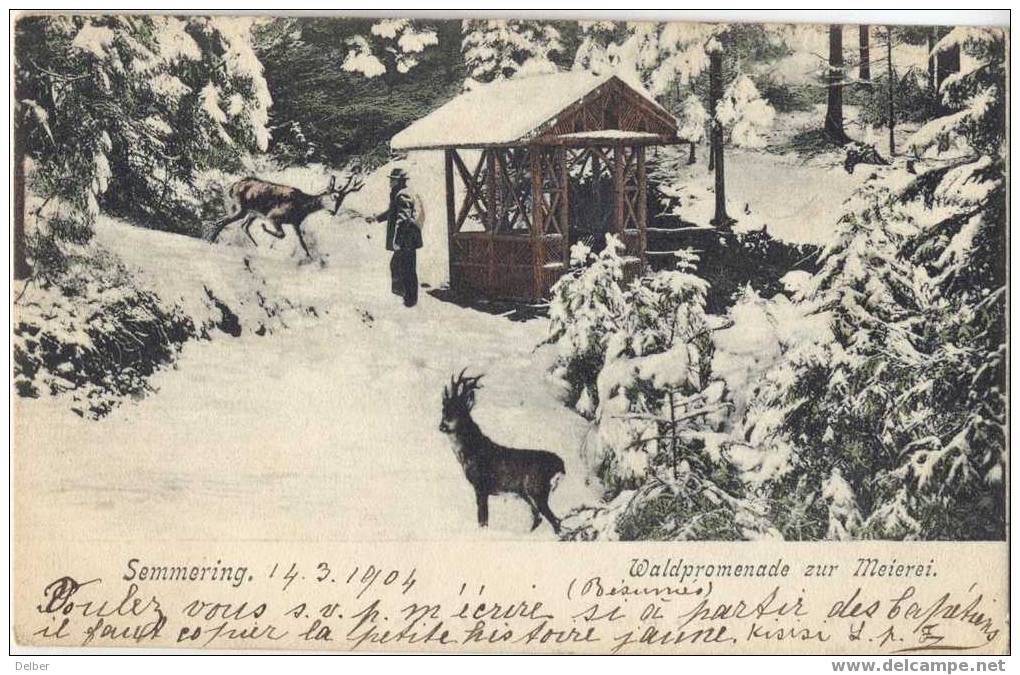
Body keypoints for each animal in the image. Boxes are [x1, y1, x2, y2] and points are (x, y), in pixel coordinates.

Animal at [209, 167, 365, 258]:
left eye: (342, 200)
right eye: (334, 196)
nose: (333, 211)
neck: (302, 206)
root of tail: (233, 186)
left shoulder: (295, 223)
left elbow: (302, 243)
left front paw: (310, 258)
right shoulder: (273, 216)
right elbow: (282, 234)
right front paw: (264, 228)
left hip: (252, 212)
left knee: (243, 226)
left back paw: (255, 246)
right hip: (240, 208)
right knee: (222, 221)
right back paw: (211, 240)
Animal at [438, 371, 567, 534]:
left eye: (459, 410)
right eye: (444, 410)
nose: (442, 426)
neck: (472, 451)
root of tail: (560, 466)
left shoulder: (481, 486)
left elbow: (483, 519)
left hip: (537, 490)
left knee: (554, 520)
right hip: (528, 494)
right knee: (539, 518)